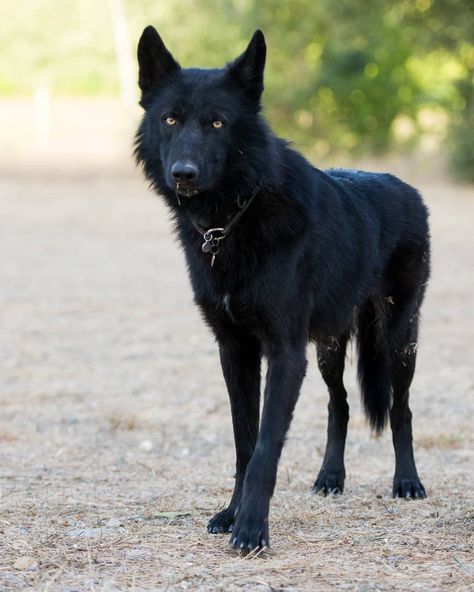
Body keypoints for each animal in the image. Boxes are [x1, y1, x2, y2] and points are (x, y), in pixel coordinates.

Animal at [133, 27, 430, 552]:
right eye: (170, 119)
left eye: (217, 123)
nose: (183, 174)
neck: (234, 217)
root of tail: (403, 186)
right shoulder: (235, 350)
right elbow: (244, 442)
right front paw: (231, 514)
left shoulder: (285, 353)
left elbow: (265, 448)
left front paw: (252, 528)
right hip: (330, 348)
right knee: (340, 404)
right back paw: (331, 477)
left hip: (399, 341)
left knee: (401, 409)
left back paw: (407, 482)